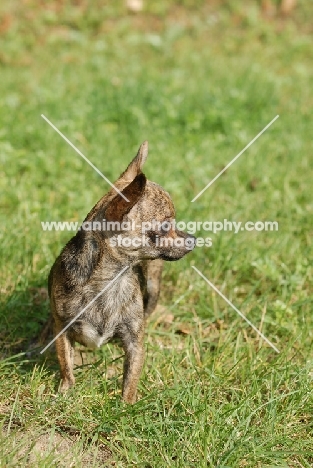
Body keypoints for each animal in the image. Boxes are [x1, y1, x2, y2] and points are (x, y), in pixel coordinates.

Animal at [46, 142, 195, 402]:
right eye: (166, 226)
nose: (193, 239)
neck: (110, 280)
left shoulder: (134, 343)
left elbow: (131, 376)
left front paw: (126, 404)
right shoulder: (62, 330)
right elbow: (66, 365)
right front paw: (66, 392)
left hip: (153, 289)